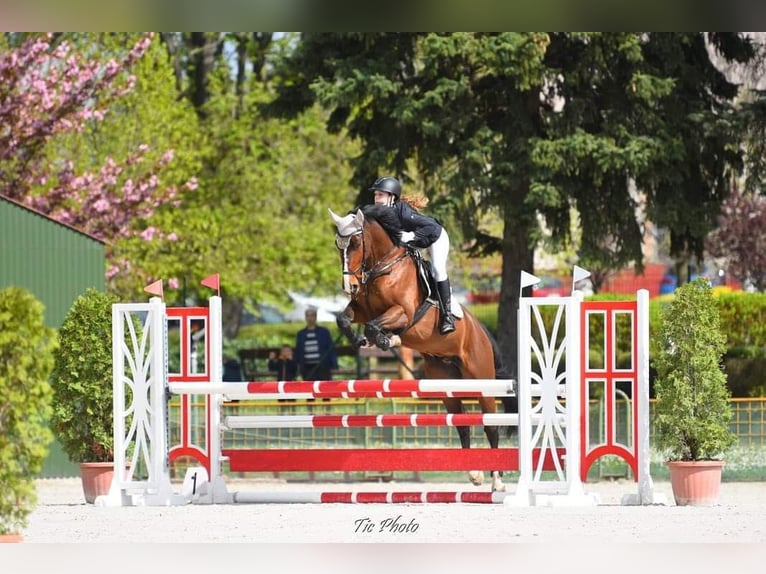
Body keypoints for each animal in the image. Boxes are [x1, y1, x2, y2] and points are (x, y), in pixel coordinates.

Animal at [330, 205, 516, 492]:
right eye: (338, 246)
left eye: (357, 243)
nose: (349, 286)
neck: (383, 267)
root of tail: (482, 331)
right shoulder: (362, 310)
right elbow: (344, 318)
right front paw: (362, 340)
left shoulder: (403, 313)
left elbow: (374, 326)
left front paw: (386, 340)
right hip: (446, 382)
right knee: (462, 424)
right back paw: (474, 473)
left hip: (482, 380)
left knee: (491, 426)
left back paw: (497, 481)